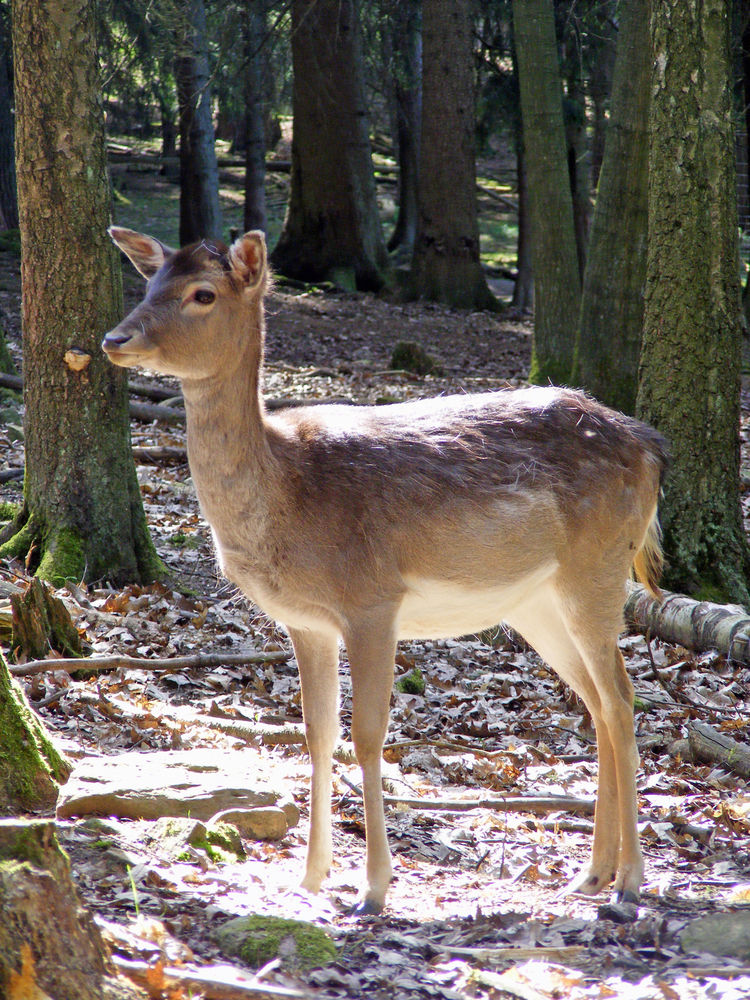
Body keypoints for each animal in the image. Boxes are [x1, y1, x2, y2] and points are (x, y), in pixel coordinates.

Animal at [101, 230, 668, 916]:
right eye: (150, 282)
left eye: (202, 294)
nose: (114, 339)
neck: (289, 495)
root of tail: (651, 449)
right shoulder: (306, 623)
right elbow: (316, 734)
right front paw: (310, 878)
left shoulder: (372, 600)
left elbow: (369, 735)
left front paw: (372, 888)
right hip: (538, 602)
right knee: (597, 700)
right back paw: (591, 874)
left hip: (598, 565)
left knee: (621, 698)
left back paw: (630, 881)